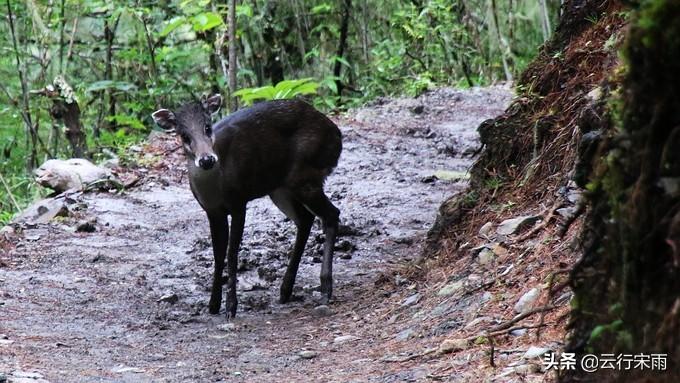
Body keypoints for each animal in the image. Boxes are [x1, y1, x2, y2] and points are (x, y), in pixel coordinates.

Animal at [149, 95, 340, 318]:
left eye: (208, 127)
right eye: (184, 136)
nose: (206, 160)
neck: (218, 185)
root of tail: (335, 133)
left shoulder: (239, 203)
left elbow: (232, 253)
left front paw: (231, 306)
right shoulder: (212, 211)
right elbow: (218, 254)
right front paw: (213, 305)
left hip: (306, 176)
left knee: (331, 214)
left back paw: (325, 289)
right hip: (280, 189)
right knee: (306, 219)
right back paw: (285, 290)